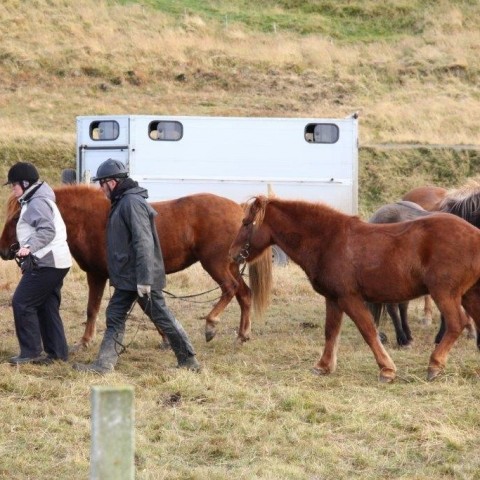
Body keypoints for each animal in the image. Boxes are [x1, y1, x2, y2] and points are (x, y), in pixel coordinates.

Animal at [0, 187, 270, 348]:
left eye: (17, 218)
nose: (4, 250)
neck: (89, 220)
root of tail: (239, 211)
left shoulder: (98, 275)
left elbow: (93, 309)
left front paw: (85, 341)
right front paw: (166, 337)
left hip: (216, 264)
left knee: (230, 289)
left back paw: (211, 324)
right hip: (230, 265)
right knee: (244, 294)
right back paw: (242, 334)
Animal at [227, 196, 480, 382]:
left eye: (246, 223)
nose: (232, 254)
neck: (328, 241)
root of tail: (474, 235)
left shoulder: (349, 298)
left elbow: (368, 331)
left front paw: (387, 370)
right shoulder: (333, 299)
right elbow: (331, 331)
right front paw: (324, 366)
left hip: (444, 293)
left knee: (456, 324)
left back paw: (434, 365)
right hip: (468, 295)